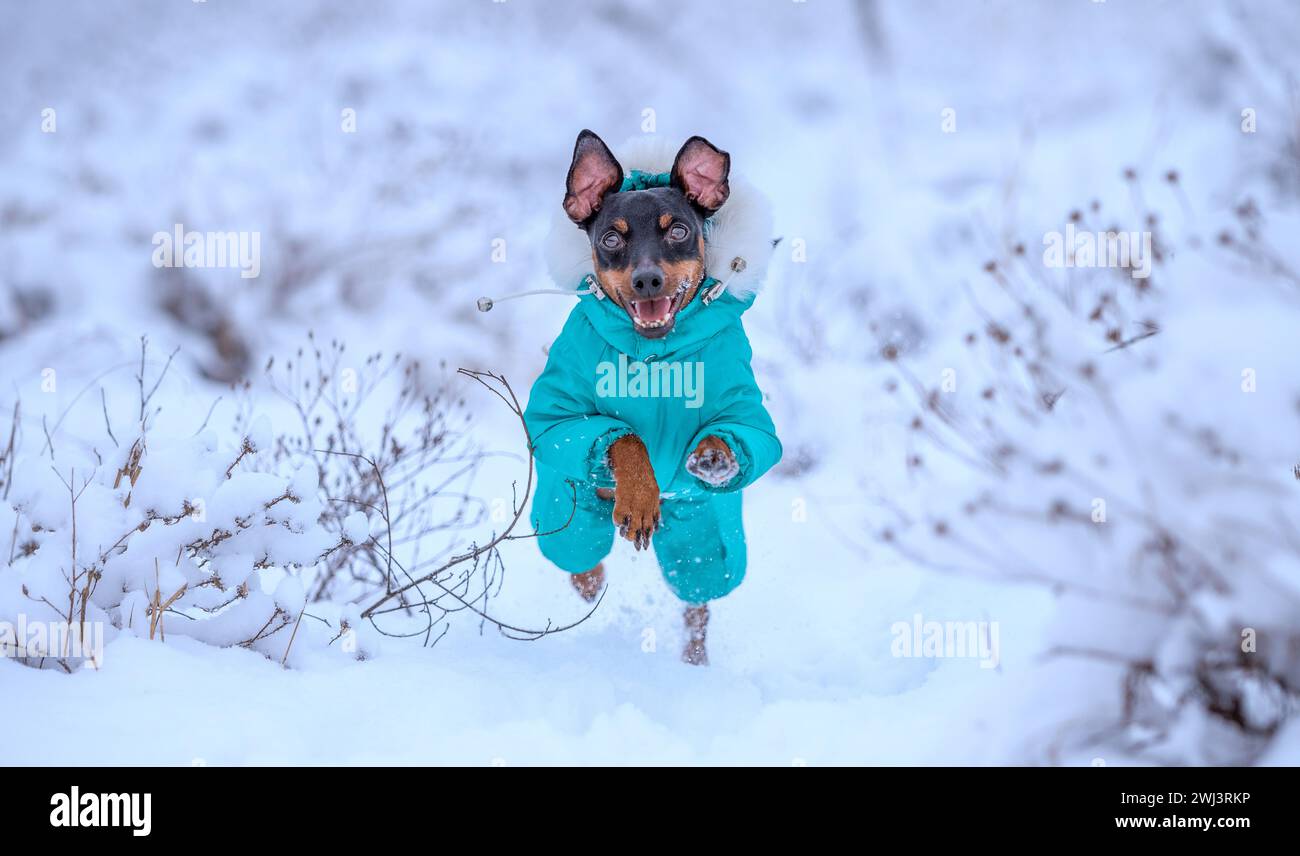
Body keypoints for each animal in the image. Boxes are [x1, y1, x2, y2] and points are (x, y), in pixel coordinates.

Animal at [525, 130, 780, 663]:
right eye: (611, 238)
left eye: (678, 231)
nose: (647, 279)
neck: (656, 356)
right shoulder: (557, 419)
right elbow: (626, 438)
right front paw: (639, 495)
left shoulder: (748, 415)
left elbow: (740, 437)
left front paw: (714, 456)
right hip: (568, 509)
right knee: (579, 554)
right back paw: (591, 580)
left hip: (704, 538)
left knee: (698, 599)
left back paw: (694, 661)